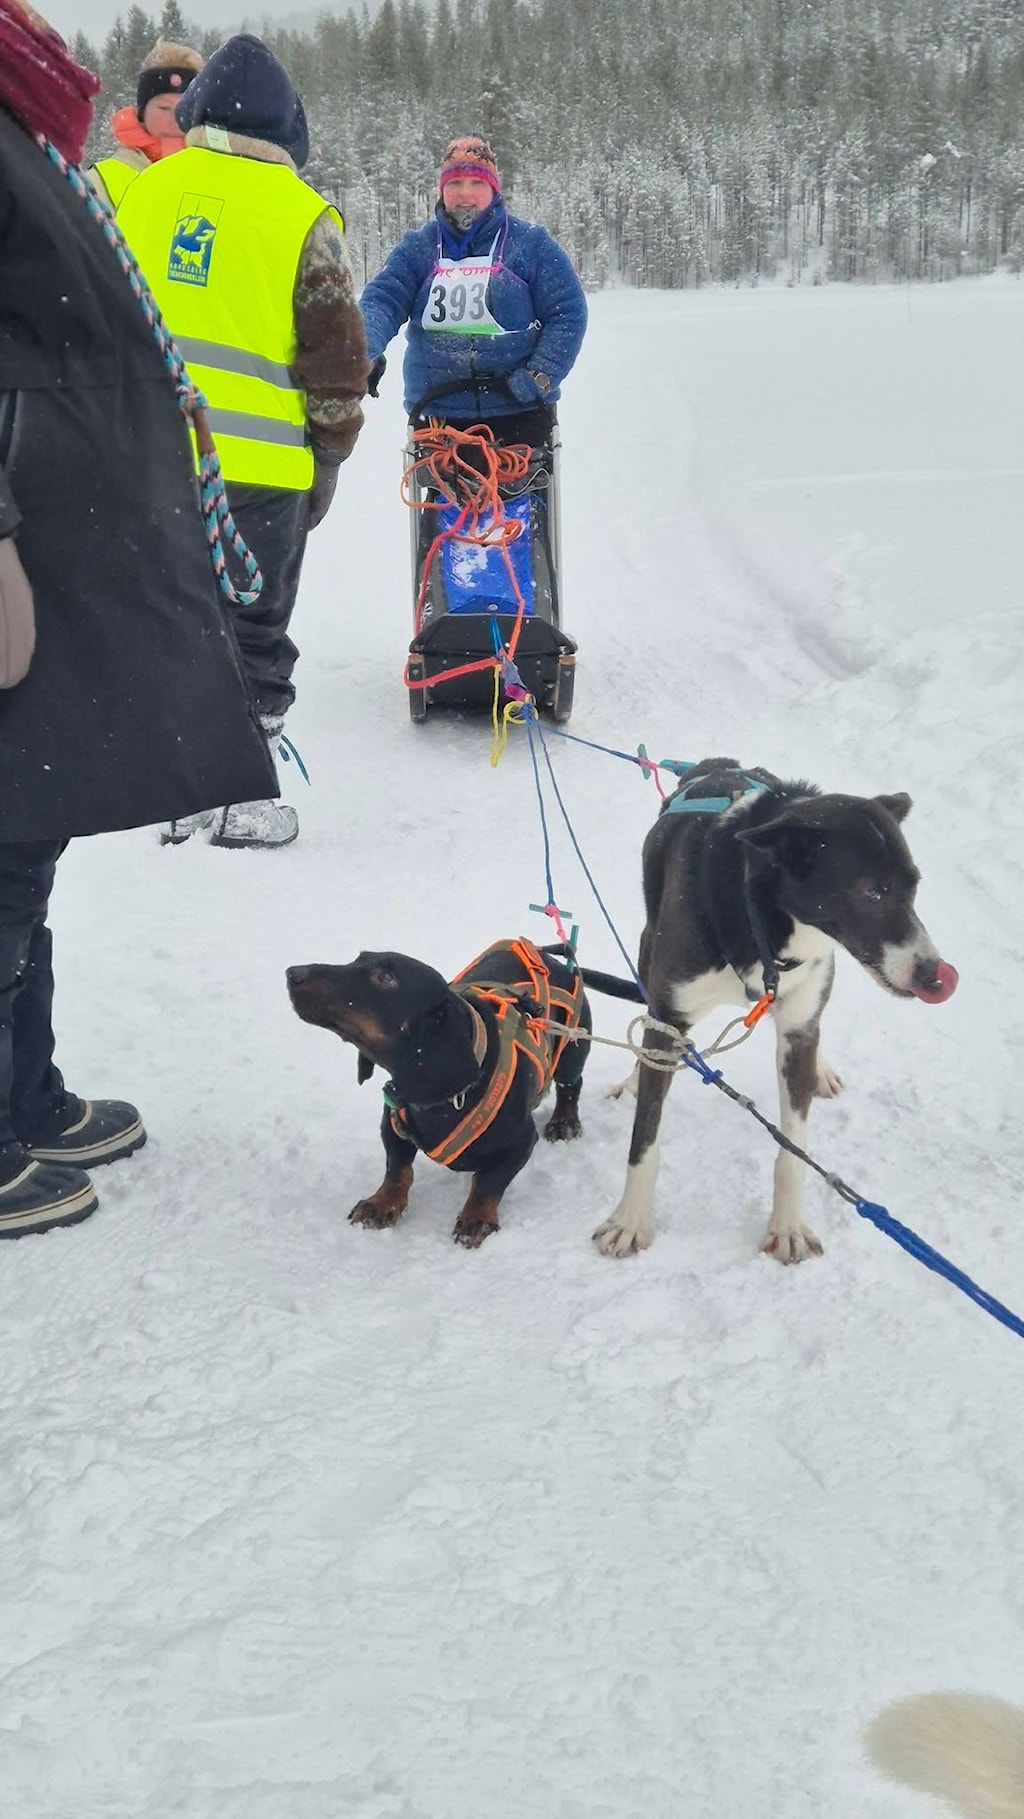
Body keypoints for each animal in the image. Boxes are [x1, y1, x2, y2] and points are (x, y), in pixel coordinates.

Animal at [286, 937, 592, 1247]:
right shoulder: (392, 1122)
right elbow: (398, 1169)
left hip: (572, 1048)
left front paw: (476, 1218)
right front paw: (382, 1204)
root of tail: (544, 954)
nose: (292, 973)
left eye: (386, 978)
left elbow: (488, 1183)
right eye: (357, 959)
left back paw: (564, 1122)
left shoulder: (521, 1142)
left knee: (570, 1085)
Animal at [588, 757, 959, 1262]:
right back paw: (632, 1077)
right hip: (648, 953)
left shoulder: (798, 1028)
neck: (761, 924)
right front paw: (630, 1220)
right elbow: (645, 1138)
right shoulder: (670, 1022)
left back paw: (821, 1067)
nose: (935, 975)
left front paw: (787, 1227)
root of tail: (718, 765)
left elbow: (793, 1151)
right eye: (872, 891)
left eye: (913, 886)